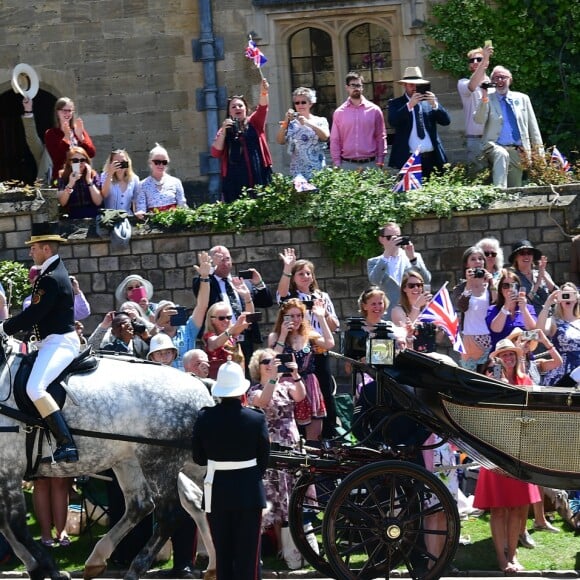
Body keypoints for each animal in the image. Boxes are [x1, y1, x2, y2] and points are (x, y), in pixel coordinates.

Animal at [0, 340, 216, 580]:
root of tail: (197, 384)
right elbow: (5, 523)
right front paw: (36, 567)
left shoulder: (10, 467)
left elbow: (16, 524)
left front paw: (49, 569)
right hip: (131, 460)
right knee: (147, 504)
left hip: (158, 461)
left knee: (170, 514)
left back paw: (135, 569)